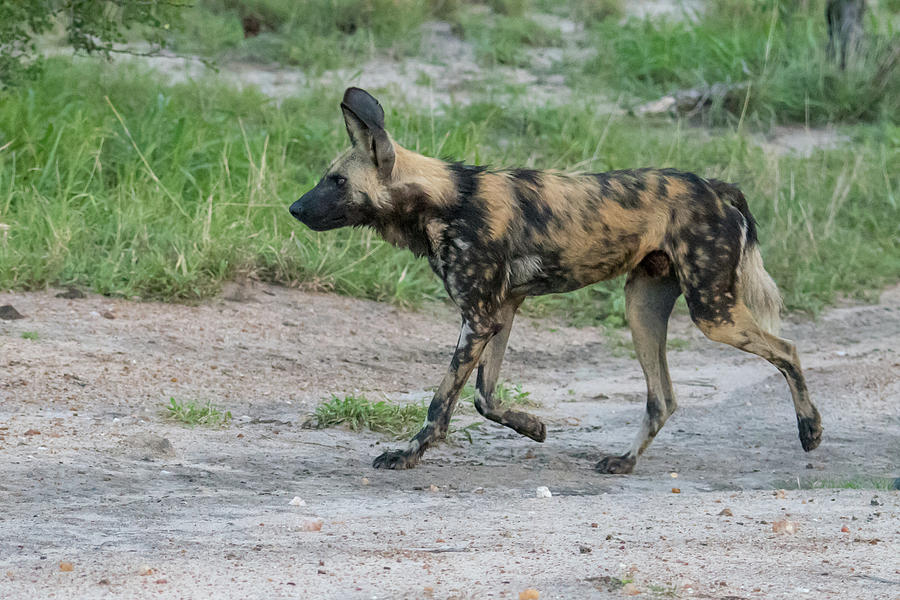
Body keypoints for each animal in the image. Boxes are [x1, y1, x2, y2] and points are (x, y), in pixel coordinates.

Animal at [290, 88, 824, 474]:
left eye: (336, 181)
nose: (294, 208)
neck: (446, 200)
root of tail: (714, 186)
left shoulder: (478, 320)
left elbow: (440, 404)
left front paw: (407, 455)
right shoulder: (500, 313)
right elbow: (484, 398)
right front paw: (533, 427)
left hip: (712, 313)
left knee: (788, 350)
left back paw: (810, 430)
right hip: (642, 309)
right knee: (663, 398)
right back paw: (623, 462)